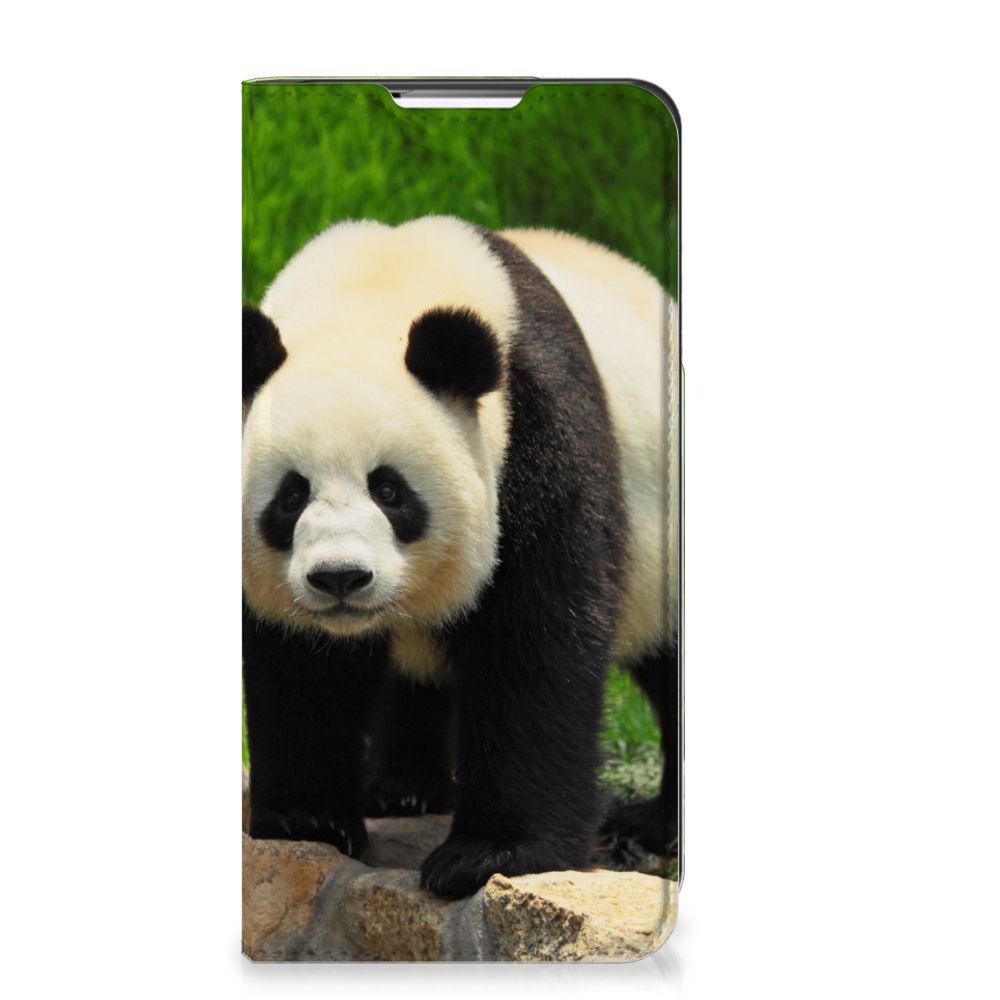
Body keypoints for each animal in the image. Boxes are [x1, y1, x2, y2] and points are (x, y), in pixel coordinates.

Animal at [242, 216, 679, 900]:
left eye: (389, 490)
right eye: (291, 496)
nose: (340, 578)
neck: (374, 290)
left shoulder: (537, 433)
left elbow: (535, 639)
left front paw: (490, 854)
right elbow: (299, 664)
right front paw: (306, 819)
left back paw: (655, 825)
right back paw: (402, 789)